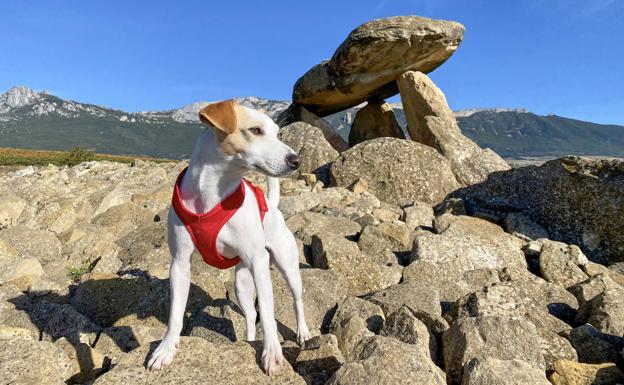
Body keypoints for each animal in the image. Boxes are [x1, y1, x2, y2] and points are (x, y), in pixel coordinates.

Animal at [147, 99, 312, 376]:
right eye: (255, 130)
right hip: (242, 284)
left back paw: (303, 332)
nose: (296, 160)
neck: (212, 192)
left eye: (278, 133)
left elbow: (268, 312)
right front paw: (166, 349)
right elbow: (175, 314)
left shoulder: (258, 261)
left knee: (297, 300)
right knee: (250, 316)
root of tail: (272, 205)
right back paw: (249, 340)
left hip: (286, 267)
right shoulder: (179, 263)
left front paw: (272, 352)